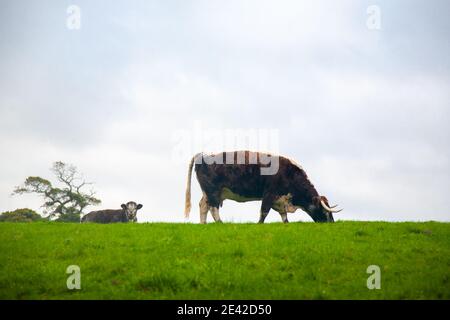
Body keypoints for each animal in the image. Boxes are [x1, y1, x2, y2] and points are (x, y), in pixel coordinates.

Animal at [183, 151, 342, 224]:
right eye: (325, 211)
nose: (332, 224)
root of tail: (203, 154)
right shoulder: (269, 194)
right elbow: (264, 212)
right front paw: (258, 224)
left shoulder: (279, 199)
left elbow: (283, 216)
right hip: (213, 192)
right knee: (213, 208)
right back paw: (221, 223)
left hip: (209, 193)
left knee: (203, 206)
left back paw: (203, 224)